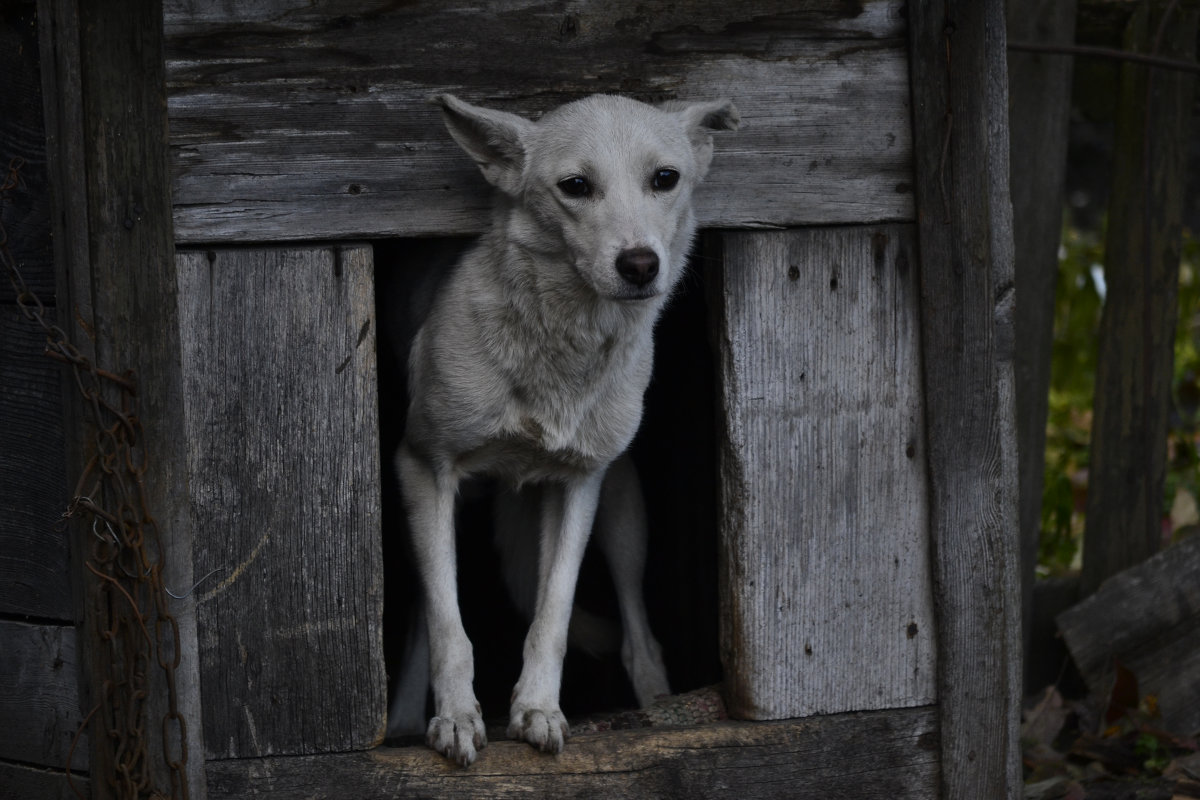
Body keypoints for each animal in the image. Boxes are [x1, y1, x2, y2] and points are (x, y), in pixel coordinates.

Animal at [388, 90, 734, 767]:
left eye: (665, 179)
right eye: (575, 186)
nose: (639, 264)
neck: (559, 352)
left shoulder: (579, 483)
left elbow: (553, 614)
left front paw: (538, 710)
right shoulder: (424, 470)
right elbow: (449, 625)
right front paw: (456, 718)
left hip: (623, 512)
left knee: (637, 632)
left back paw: (656, 706)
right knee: (424, 613)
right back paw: (405, 719)